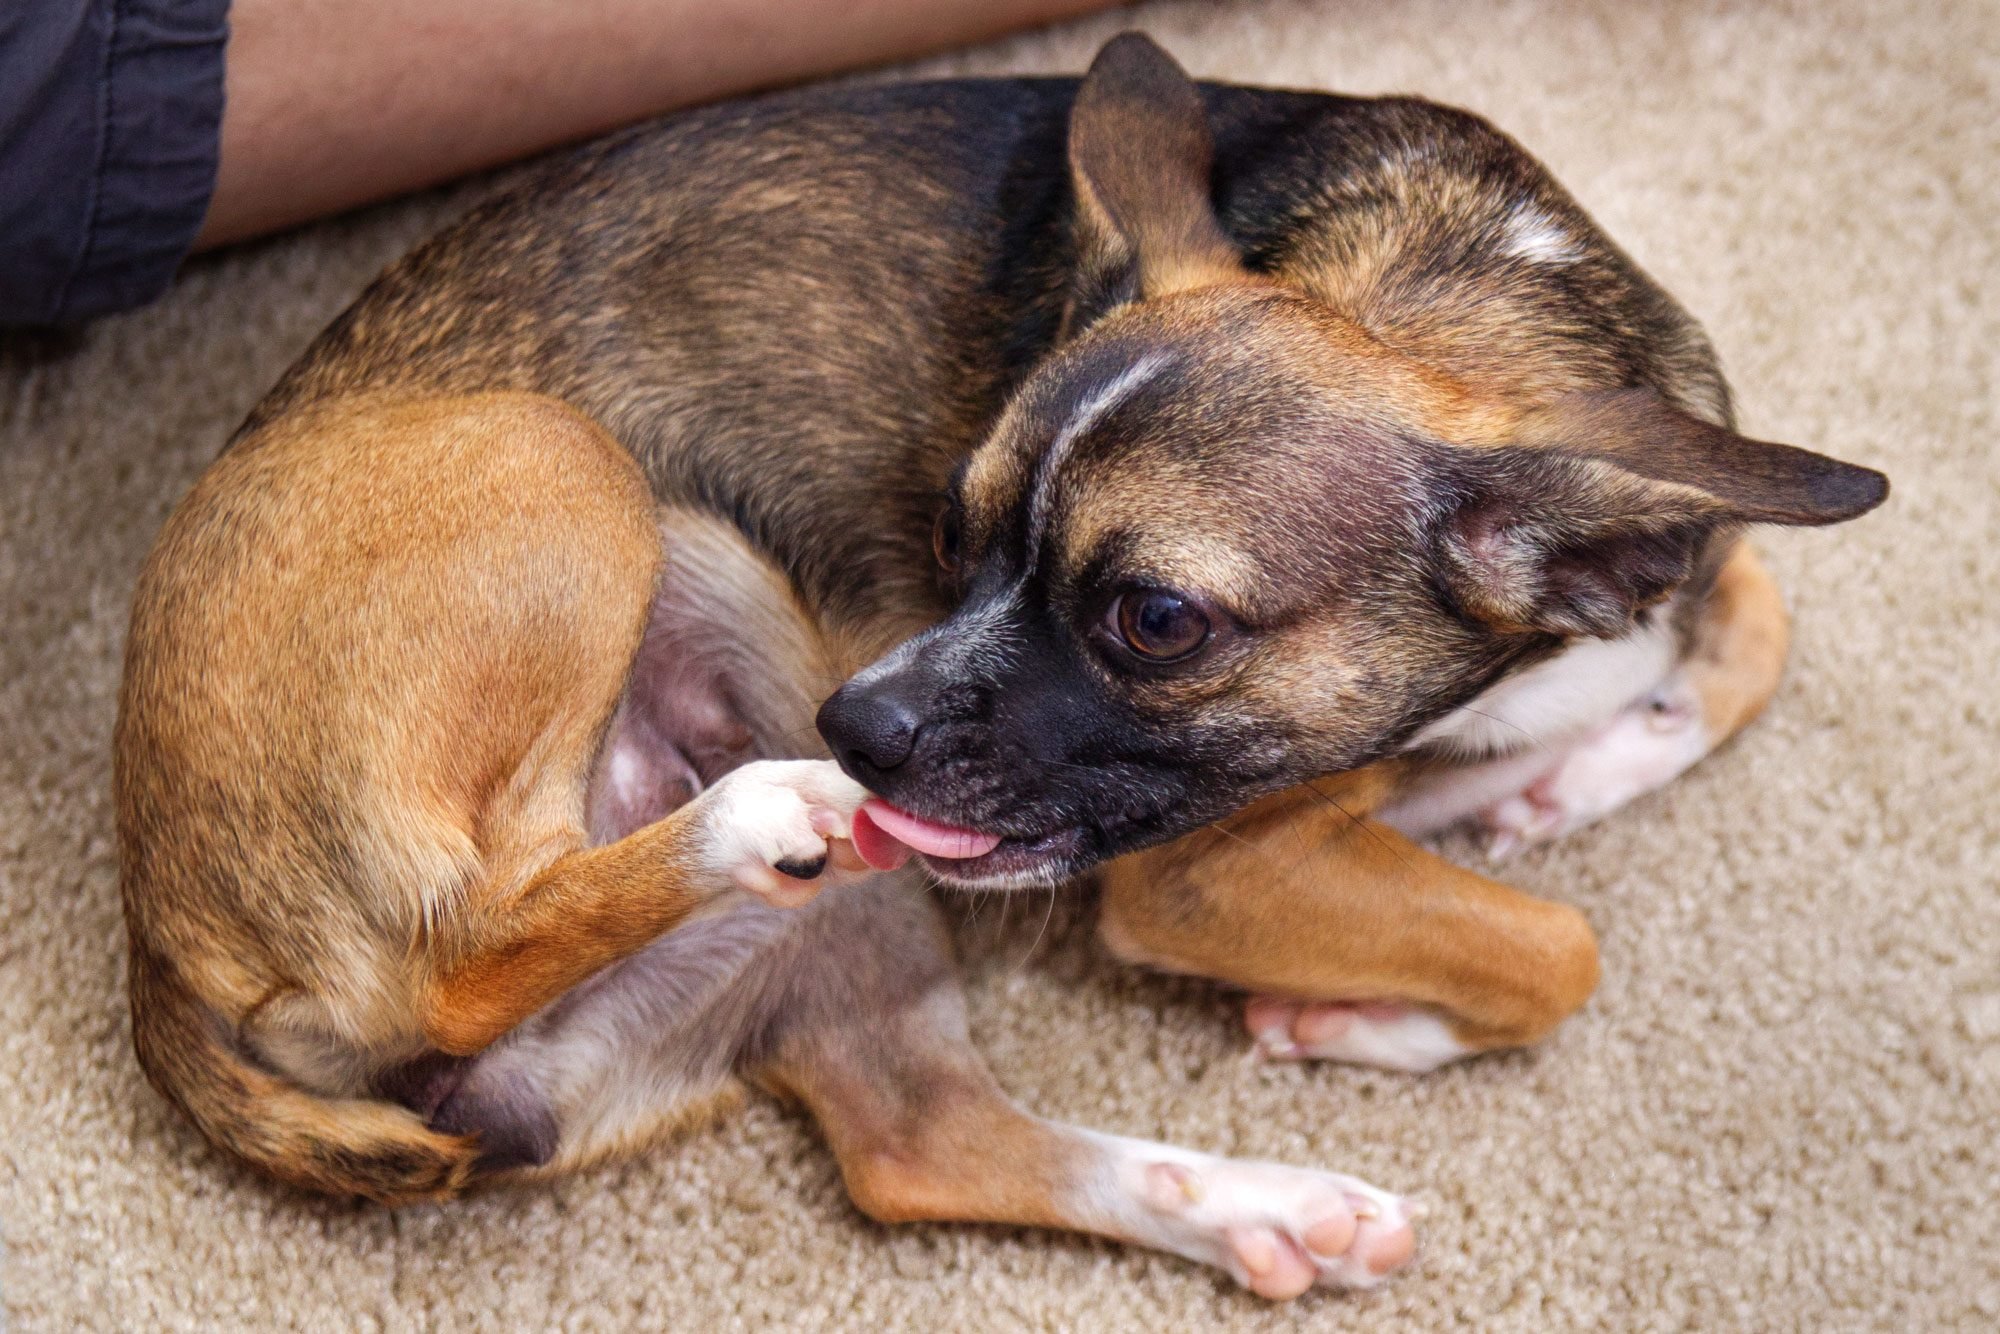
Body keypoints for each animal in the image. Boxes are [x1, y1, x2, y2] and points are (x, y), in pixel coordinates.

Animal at [117, 36, 1880, 1296]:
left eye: (1156, 621)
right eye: (953, 529)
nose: (864, 717)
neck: (1440, 293)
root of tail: (161, 942)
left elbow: (1741, 633)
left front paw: (1552, 779)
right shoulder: (1197, 875)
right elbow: (1552, 948)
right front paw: (1381, 1008)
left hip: (845, 910)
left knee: (920, 1142)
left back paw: (1260, 1208)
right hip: (570, 473)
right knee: (471, 935)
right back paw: (751, 814)